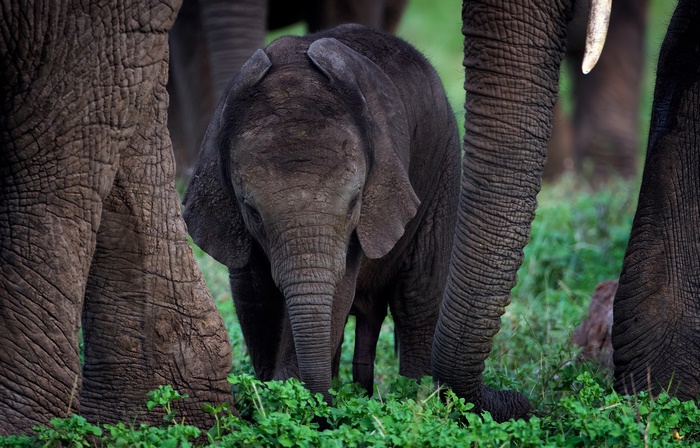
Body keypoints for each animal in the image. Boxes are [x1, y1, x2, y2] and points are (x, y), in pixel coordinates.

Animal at [182, 24, 460, 399]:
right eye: (251, 211)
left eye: (355, 202)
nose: (322, 396)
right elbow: (254, 296)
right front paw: (274, 393)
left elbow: (339, 289)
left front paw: (290, 395)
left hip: (444, 162)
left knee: (416, 295)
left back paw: (412, 397)